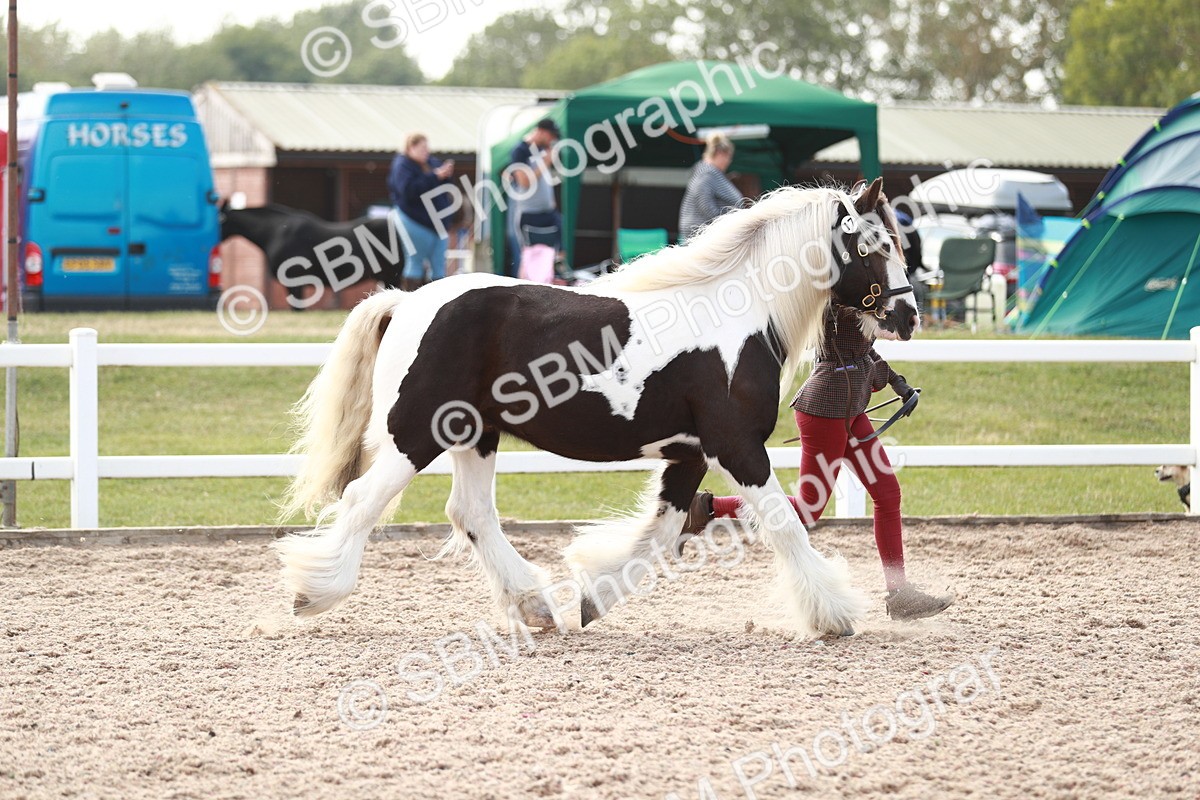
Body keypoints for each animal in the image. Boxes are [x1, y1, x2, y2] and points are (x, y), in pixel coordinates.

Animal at [274, 178, 920, 638]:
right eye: (876, 246)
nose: (908, 315)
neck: (739, 319)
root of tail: (406, 302)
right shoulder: (736, 447)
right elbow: (784, 522)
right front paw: (834, 614)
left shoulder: (690, 455)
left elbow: (660, 533)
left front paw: (592, 597)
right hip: (419, 433)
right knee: (364, 499)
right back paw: (312, 593)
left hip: (475, 434)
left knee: (471, 513)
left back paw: (535, 608)